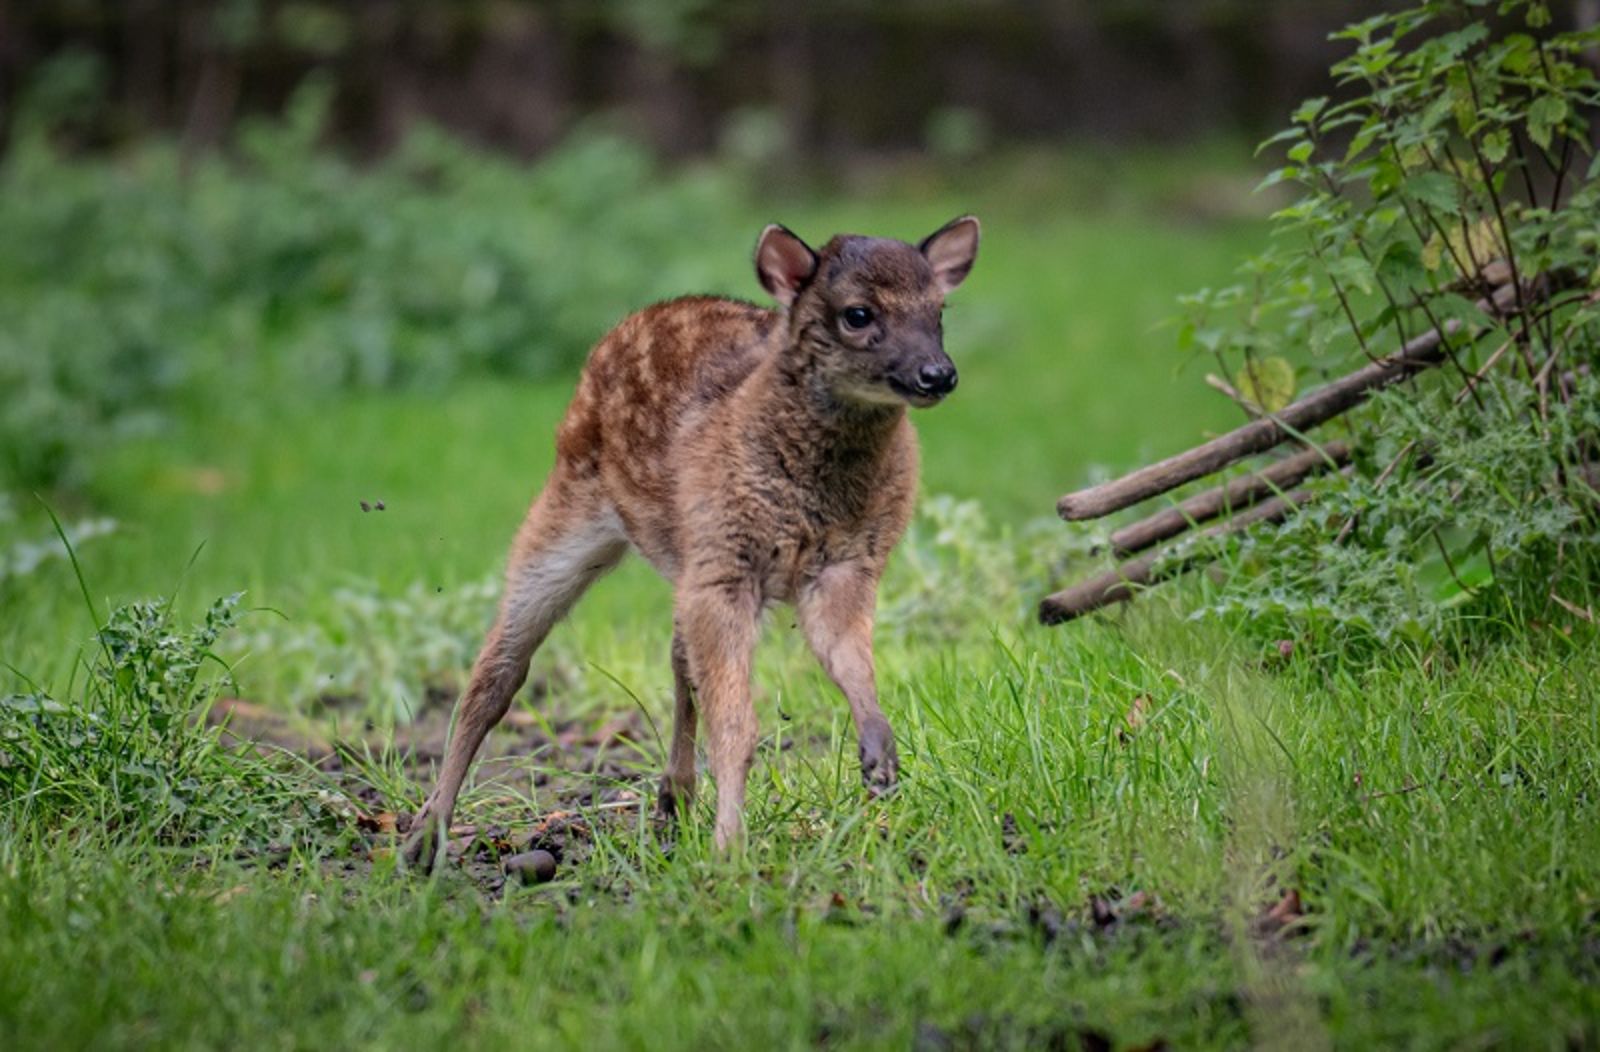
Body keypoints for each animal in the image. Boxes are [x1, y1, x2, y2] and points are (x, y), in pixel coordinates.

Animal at [403, 215, 980, 863]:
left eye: (939, 311)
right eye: (857, 313)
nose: (937, 373)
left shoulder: (849, 563)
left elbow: (849, 663)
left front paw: (879, 759)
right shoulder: (726, 563)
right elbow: (739, 724)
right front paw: (730, 851)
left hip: (686, 558)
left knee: (678, 657)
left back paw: (673, 800)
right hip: (567, 507)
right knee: (498, 668)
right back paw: (424, 836)